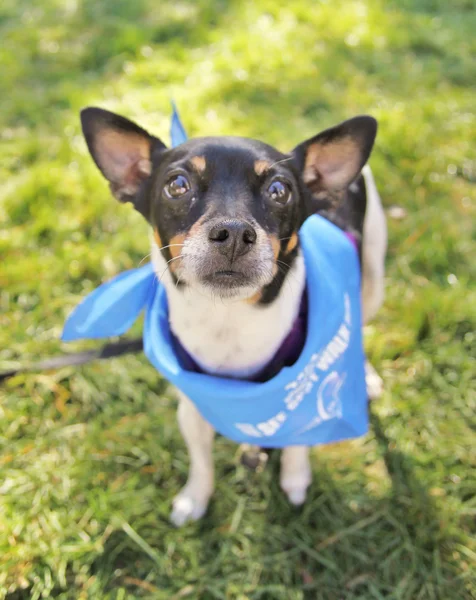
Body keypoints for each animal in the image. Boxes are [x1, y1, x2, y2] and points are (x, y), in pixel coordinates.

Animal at [80, 109, 386, 524]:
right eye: (177, 185)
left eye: (279, 190)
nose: (235, 232)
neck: (228, 321)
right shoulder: (193, 409)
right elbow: (201, 460)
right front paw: (195, 497)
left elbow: (298, 438)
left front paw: (295, 477)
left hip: (372, 276)